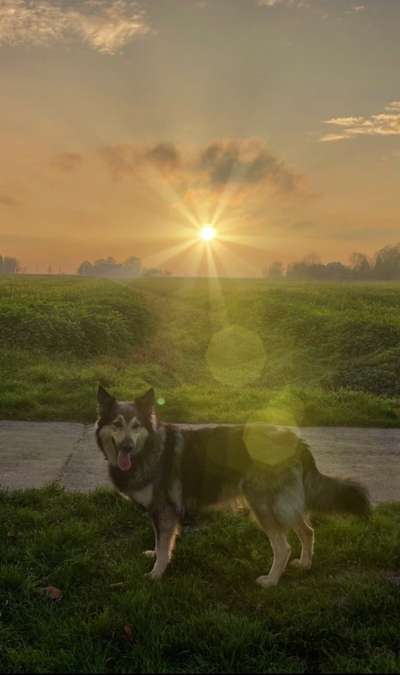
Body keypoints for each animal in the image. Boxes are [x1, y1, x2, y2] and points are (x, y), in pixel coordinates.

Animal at [95, 386, 370, 588]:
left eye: (136, 425)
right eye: (117, 424)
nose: (127, 447)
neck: (148, 449)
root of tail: (296, 440)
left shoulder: (165, 510)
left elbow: (164, 545)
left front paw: (156, 573)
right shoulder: (158, 512)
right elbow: (159, 540)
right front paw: (153, 555)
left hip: (264, 505)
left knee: (283, 547)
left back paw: (271, 581)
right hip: (284, 504)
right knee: (307, 530)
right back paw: (304, 564)